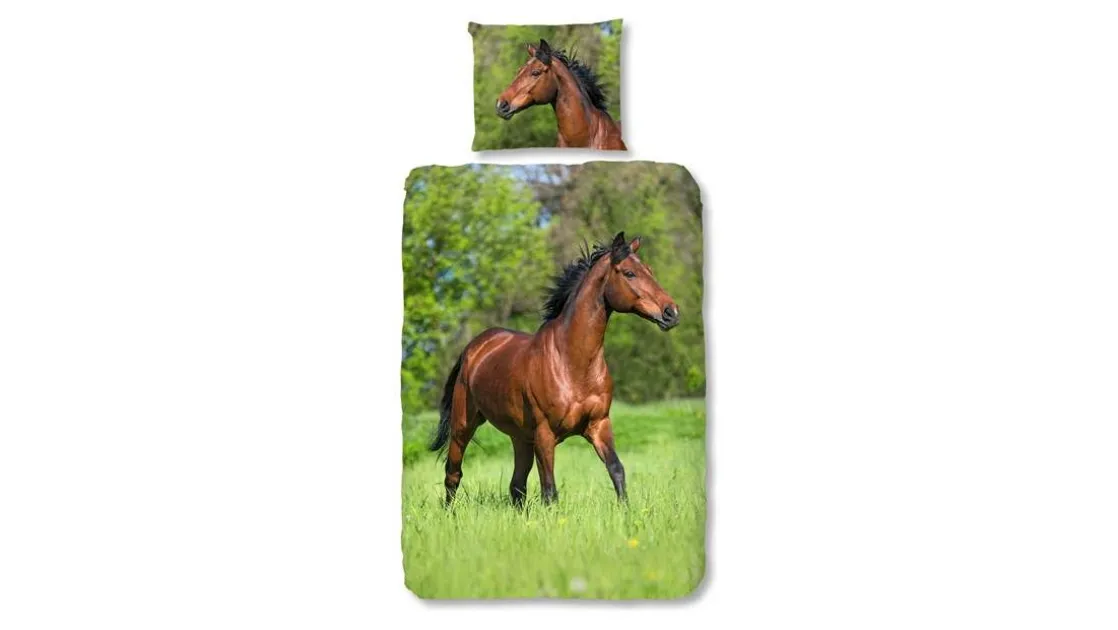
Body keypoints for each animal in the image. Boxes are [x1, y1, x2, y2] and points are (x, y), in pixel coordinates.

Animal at [428, 232, 679, 507]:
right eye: (629, 273)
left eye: (649, 270)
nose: (671, 312)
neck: (571, 364)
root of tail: (474, 348)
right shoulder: (545, 434)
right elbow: (550, 490)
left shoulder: (599, 425)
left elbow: (616, 470)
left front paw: (627, 512)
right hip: (464, 426)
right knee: (453, 474)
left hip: (520, 438)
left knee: (516, 486)